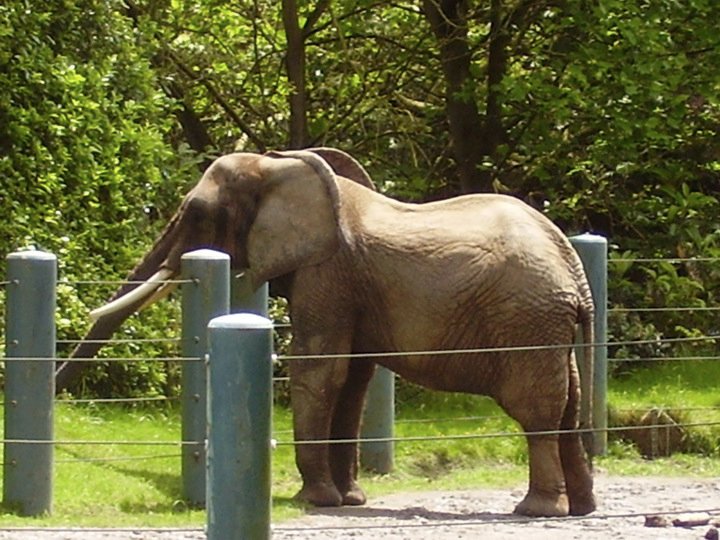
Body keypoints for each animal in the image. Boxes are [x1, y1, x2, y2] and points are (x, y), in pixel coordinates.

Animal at [56, 147, 596, 518]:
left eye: (196, 214)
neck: (279, 164)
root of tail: (576, 275)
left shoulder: (327, 274)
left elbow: (319, 370)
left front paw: (314, 500)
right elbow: (352, 382)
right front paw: (349, 500)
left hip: (526, 319)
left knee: (536, 410)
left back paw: (535, 510)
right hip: (548, 326)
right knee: (568, 405)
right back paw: (581, 508)